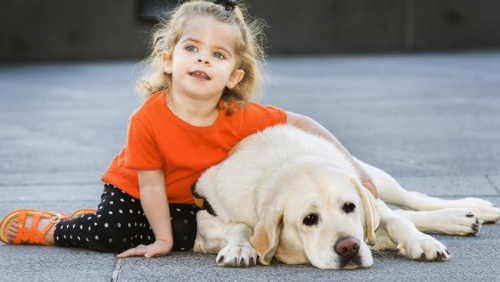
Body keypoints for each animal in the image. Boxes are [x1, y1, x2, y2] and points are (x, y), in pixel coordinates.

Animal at [191, 125, 500, 268]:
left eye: (349, 207)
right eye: (309, 219)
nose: (349, 247)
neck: (288, 165)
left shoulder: (369, 202)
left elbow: (399, 221)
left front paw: (422, 243)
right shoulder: (206, 216)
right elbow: (240, 227)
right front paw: (240, 248)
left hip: (374, 178)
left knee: (411, 199)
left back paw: (473, 210)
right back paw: (464, 218)